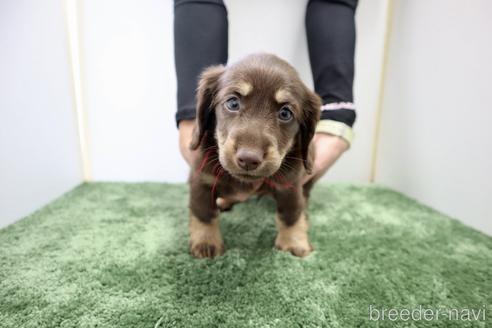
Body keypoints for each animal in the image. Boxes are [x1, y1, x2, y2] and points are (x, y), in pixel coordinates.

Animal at [186, 53, 320, 258]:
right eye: (233, 103)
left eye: (285, 113)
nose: (249, 159)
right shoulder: (201, 180)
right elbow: (204, 213)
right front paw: (206, 242)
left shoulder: (290, 186)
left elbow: (291, 214)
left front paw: (294, 242)